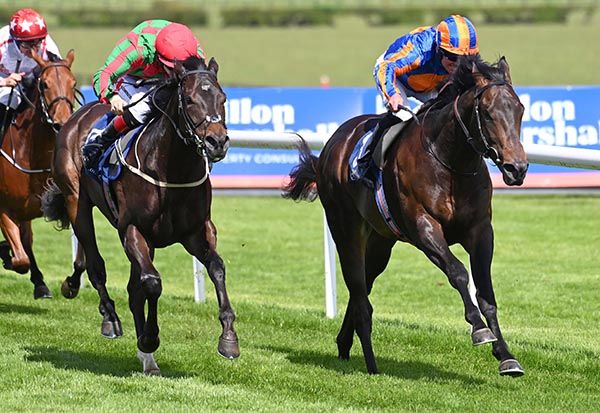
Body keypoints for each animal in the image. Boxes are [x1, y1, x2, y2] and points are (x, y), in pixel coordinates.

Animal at [0, 50, 77, 298]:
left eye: (73, 84)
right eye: (44, 84)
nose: (61, 122)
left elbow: (24, 250)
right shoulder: (4, 209)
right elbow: (21, 259)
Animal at [42, 56, 238, 374]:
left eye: (222, 99)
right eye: (190, 99)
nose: (217, 142)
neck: (171, 170)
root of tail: (75, 117)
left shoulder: (196, 232)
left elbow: (217, 268)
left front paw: (229, 339)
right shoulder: (133, 230)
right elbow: (152, 283)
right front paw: (149, 338)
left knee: (132, 288)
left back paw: (146, 359)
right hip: (76, 203)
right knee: (96, 266)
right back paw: (109, 318)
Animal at [284, 55, 528, 376]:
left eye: (520, 109)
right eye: (487, 113)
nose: (517, 168)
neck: (450, 163)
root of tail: (331, 145)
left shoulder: (480, 231)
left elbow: (486, 295)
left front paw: (506, 356)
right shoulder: (423, 228)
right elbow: (458, 272)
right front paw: (479, 329)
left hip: (380, 243)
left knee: (362, 286)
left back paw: (344, 343)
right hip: (345, 230)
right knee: (359, 293)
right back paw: (371, 364)